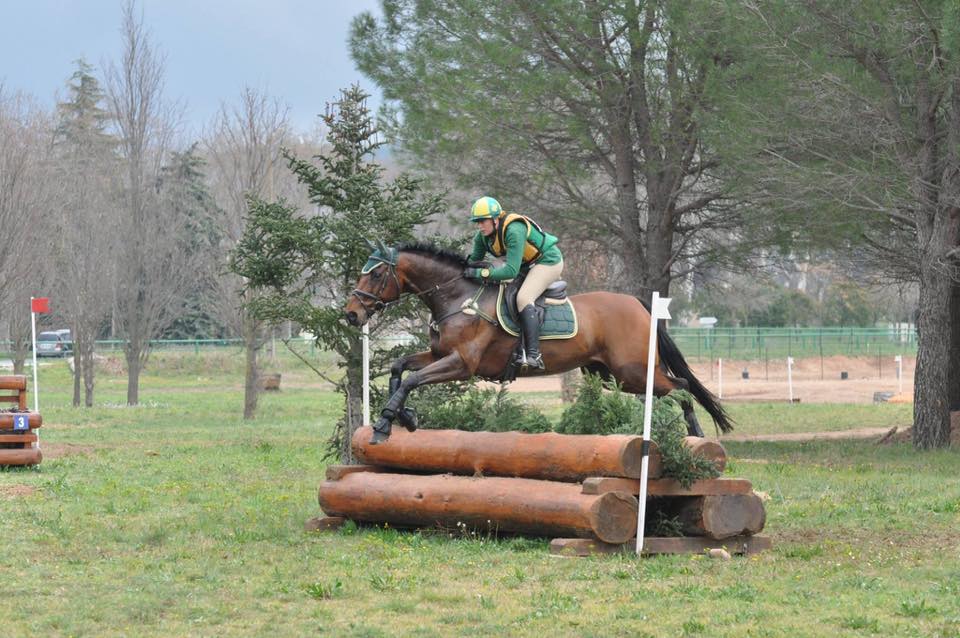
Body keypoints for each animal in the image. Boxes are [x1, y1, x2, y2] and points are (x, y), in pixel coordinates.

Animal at [344, 241, 733, 444]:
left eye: (375, 274)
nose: (351, 314)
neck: (458, 297)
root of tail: (638, 304)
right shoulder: (440, 354)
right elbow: (400, 369)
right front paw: (406, 417)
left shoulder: (462, 364)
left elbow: (411, 379)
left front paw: (385, 424)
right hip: (610, 374)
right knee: (674, 388)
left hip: (631, 369)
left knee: (682, 387)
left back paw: (697, 435)